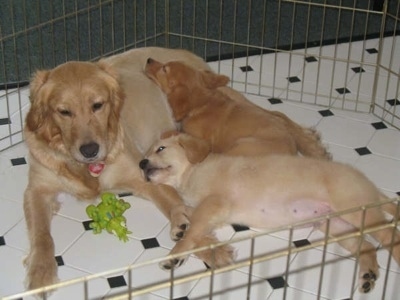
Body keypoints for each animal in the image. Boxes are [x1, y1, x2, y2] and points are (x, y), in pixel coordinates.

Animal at [23, 47, 239, 292]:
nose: (90, 150)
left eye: (98, 105)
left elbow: (177, 207)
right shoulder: (36, 190)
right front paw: (40, 272)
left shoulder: (143, 174)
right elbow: (42, 235)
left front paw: (211, 248)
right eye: (64, 112)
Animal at [141, 131, 400, 292]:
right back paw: (368, 276)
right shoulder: (209, 211)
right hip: (338, 226)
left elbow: (193, 230)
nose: (141, 164)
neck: (192, 170)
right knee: (367, 246)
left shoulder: (213, 203)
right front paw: (181, 228)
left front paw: (176, 254)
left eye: (161, 149)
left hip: (356, 210)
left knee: (390, 235)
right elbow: (191, 222)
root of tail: (369, 184)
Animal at [144, 57, 332, 158]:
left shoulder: (198, 138)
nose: (148, 60)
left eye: (164, 69)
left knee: (277, 114)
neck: (202, 102)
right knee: (278, 114)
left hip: (239, 147)